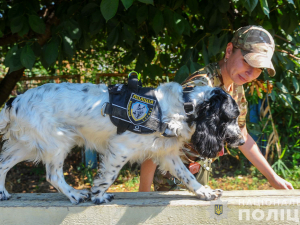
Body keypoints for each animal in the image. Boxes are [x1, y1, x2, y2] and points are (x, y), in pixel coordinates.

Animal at [0, 82, 244, 204]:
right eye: (231, 117)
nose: (242, 140)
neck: (185, 108)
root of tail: (15, 99)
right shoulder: (121, 148)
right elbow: (108, 176)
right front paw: (99, 196)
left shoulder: (167, 153)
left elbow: (187, 176)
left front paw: (205, 192)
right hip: (58, 142)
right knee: (53, 175)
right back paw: (75, 194)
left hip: (27, 145)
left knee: (3, 164)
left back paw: (2, 193)